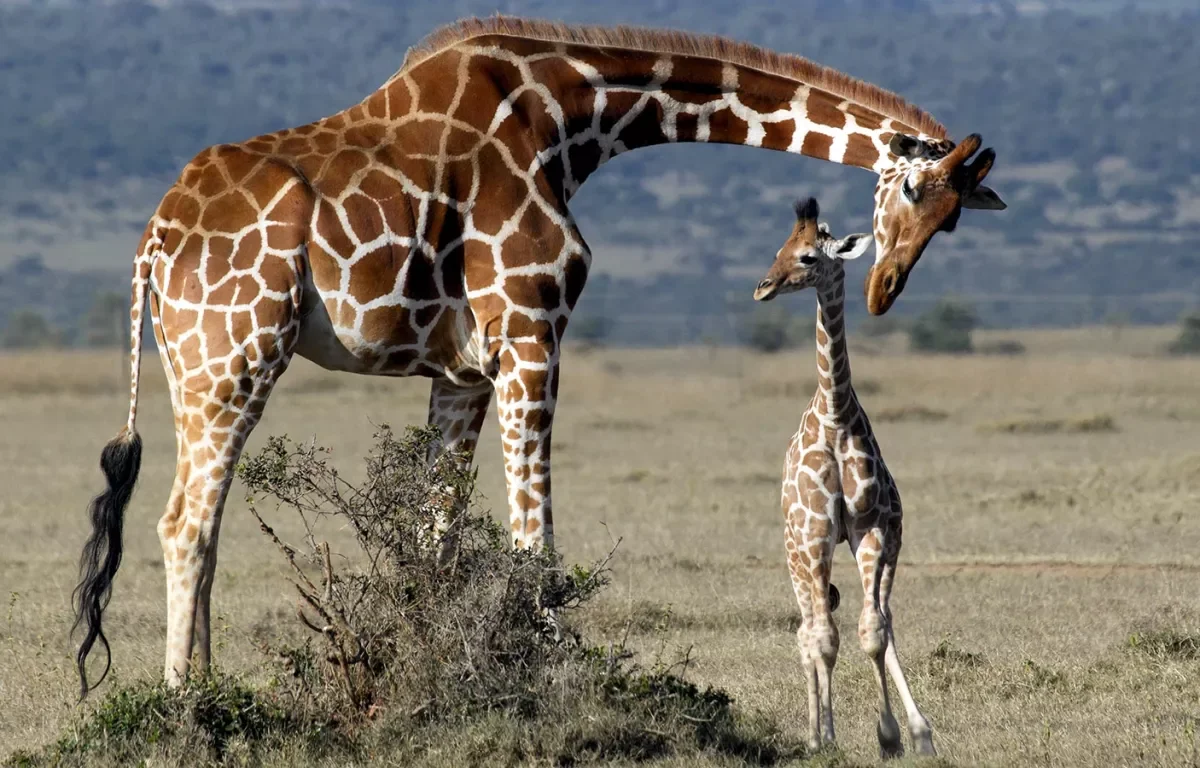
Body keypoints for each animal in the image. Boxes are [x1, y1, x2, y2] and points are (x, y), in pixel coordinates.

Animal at [72, 15, 1003, 696]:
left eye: (954, 219)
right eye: (911, 189)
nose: (884, 289)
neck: (572, 120)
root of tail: (155, 241)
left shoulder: (462, 369)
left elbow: (439, 538)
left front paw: (442, 676)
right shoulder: (530, 326)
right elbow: (534, 544)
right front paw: (550, 677)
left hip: (196, 363)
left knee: (201, 521)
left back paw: (207, 686)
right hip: (236, 352)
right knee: (184, 522)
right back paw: (186, 703)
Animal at [748, 196, 936, 758]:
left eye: (808, 256)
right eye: (779, 248)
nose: (762, 286)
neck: (834, 415)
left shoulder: (872, 528)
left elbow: (873, 631)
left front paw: (897, 734)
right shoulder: (814, 535)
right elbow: (825, 639)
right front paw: (827, 737)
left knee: (875, 622)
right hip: (797, 553)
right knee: (808, 630)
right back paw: (815, 733)